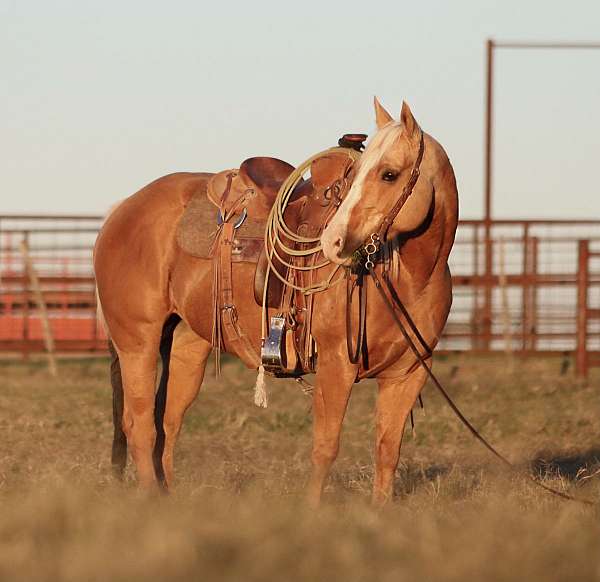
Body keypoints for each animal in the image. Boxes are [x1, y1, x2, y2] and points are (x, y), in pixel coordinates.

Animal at [95, 99, 460, 506]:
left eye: (389, 174)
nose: (334, 241)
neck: (409, 277)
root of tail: (123, 209)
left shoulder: (408, 374)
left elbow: (387, 451)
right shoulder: (336, 364)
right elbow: (326, 447)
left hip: (186, 345)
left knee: (167, 423)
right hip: (137, 343)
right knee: (139, 424)